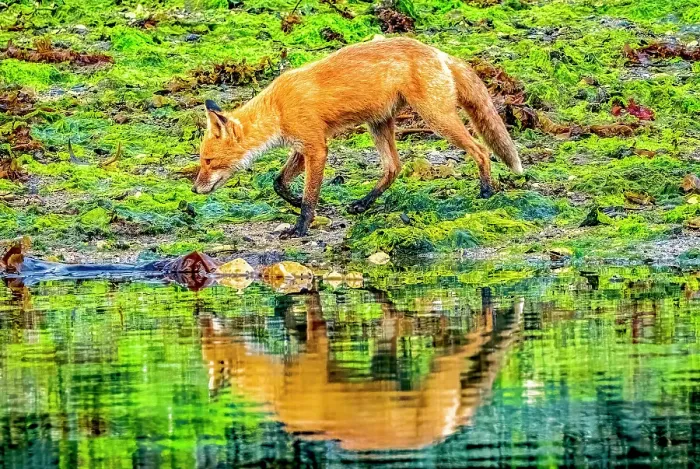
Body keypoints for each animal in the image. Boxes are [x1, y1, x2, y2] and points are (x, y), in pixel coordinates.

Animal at [192, 37, 523, 238]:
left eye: (208, 161)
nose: (195, 189)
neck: (278, 108)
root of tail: (437, 51)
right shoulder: (302, 146)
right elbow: (279, 182)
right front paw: (296, 201)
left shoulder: (316, 147)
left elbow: (310, 197)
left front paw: (301, 227)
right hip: (379, 124)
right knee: (393, 168)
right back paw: (363, 204)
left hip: (436, 118)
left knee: (480, 150)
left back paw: (486, 191)